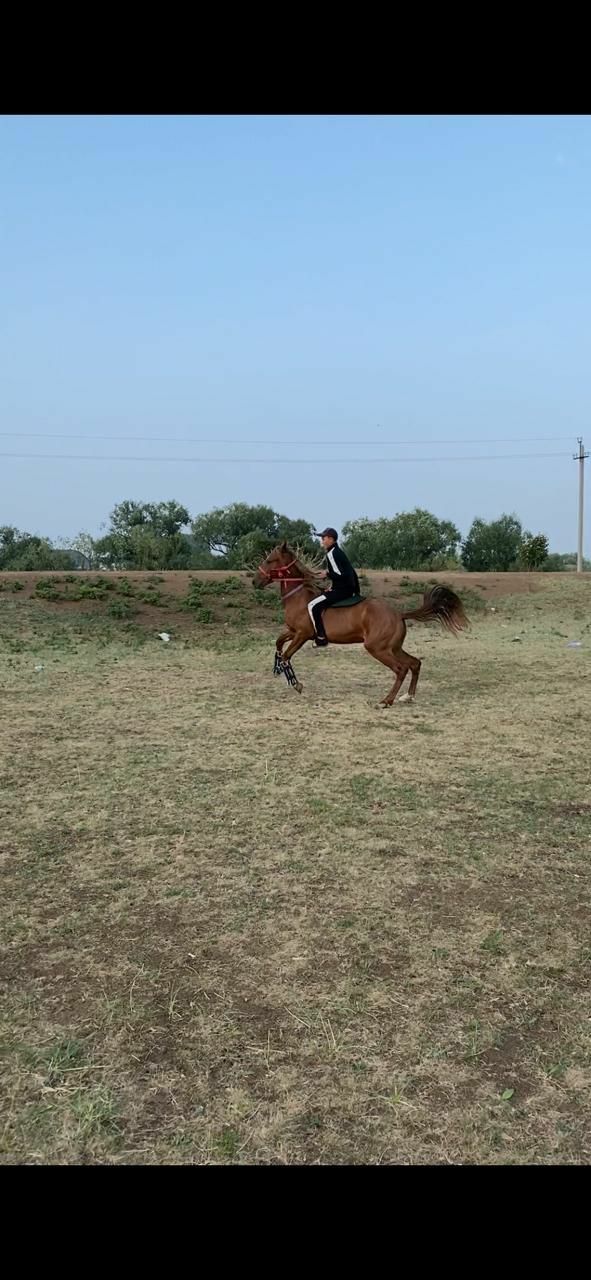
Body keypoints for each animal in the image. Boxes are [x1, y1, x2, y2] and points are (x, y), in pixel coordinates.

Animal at [252, 537, 468, 706]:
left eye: (270, 560)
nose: (255, 581)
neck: (298, 597)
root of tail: (398, 614)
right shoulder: (292, 631)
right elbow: (279, 645)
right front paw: (280, 670)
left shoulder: (303, 634)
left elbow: (286, 655)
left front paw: (296, 684)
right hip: (393, 647)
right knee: (414, 664)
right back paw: (408, 697)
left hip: (377, 648)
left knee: (401, 669)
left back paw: (386, 701)